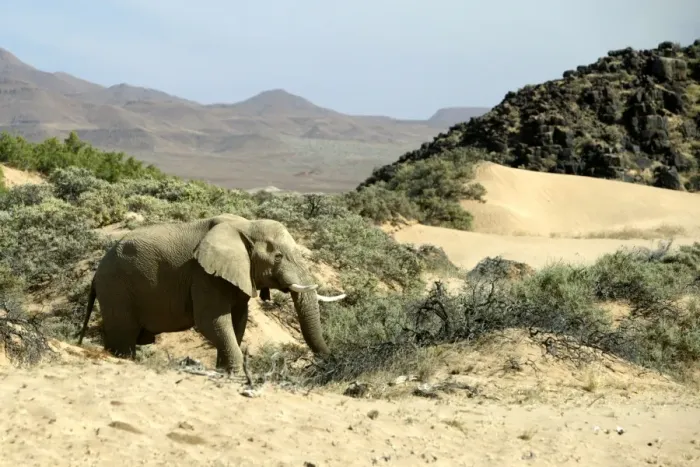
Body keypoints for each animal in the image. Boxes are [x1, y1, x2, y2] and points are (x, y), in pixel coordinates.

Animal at [76, 213, 346, 377]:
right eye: (278, 257)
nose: (330, 363)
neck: (247, 226)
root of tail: (95, 274)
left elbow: (237, 322)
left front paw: (225, 371)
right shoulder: (204, 274)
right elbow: (211, 322)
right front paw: (237, 375)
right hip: (117, 290)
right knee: (123, 337)